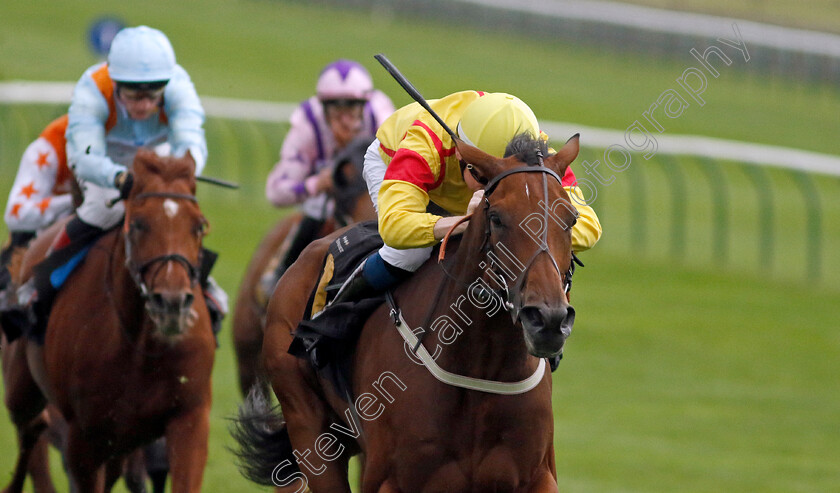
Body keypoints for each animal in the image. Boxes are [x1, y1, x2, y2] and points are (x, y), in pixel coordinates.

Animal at [1, 150, 217, 492]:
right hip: (20, 389)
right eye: (139, 224)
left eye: (198, 226)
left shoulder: (190, 418)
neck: (140, 344)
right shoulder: (83, 435)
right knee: (32, 425)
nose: (171, 302)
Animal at [233, 133, 580, 490]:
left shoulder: (537, 476)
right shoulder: (389, 480)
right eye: (496, 218)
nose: (548, 319)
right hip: (308, 425)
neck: (481, 370)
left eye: (570, 219)